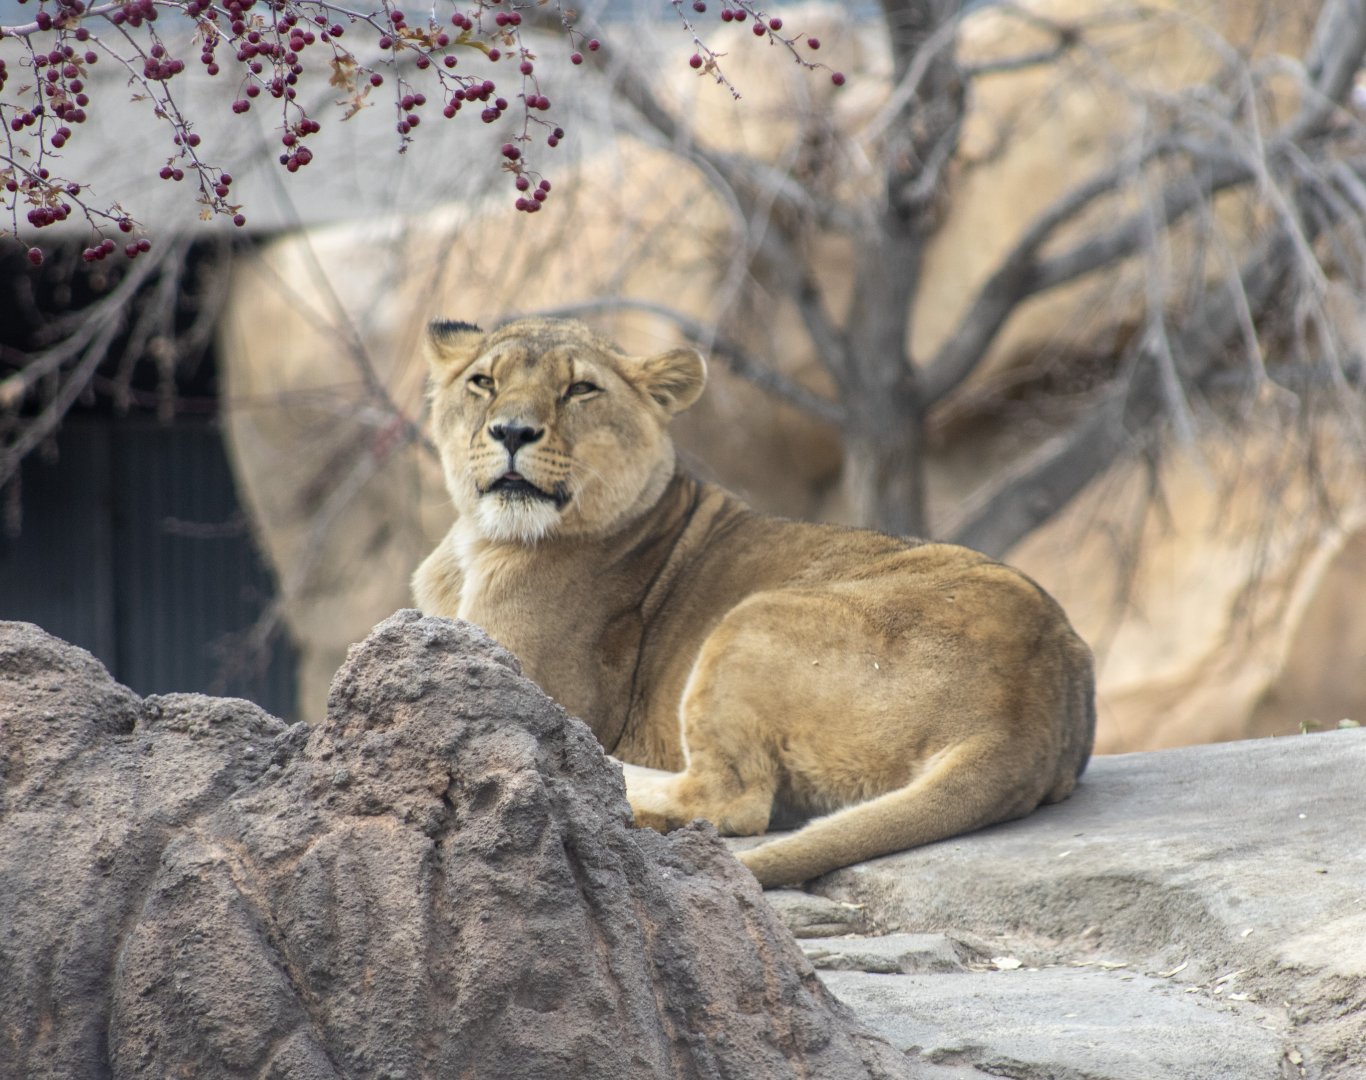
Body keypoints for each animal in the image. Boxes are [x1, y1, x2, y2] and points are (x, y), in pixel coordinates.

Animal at [412, 317, 1096, 887]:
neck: (478, 542)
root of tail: (1027, 716)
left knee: (731, 801)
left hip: (750, 620)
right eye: (483, 382)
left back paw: (607, 776)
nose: (512, 431)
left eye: (581, 389)